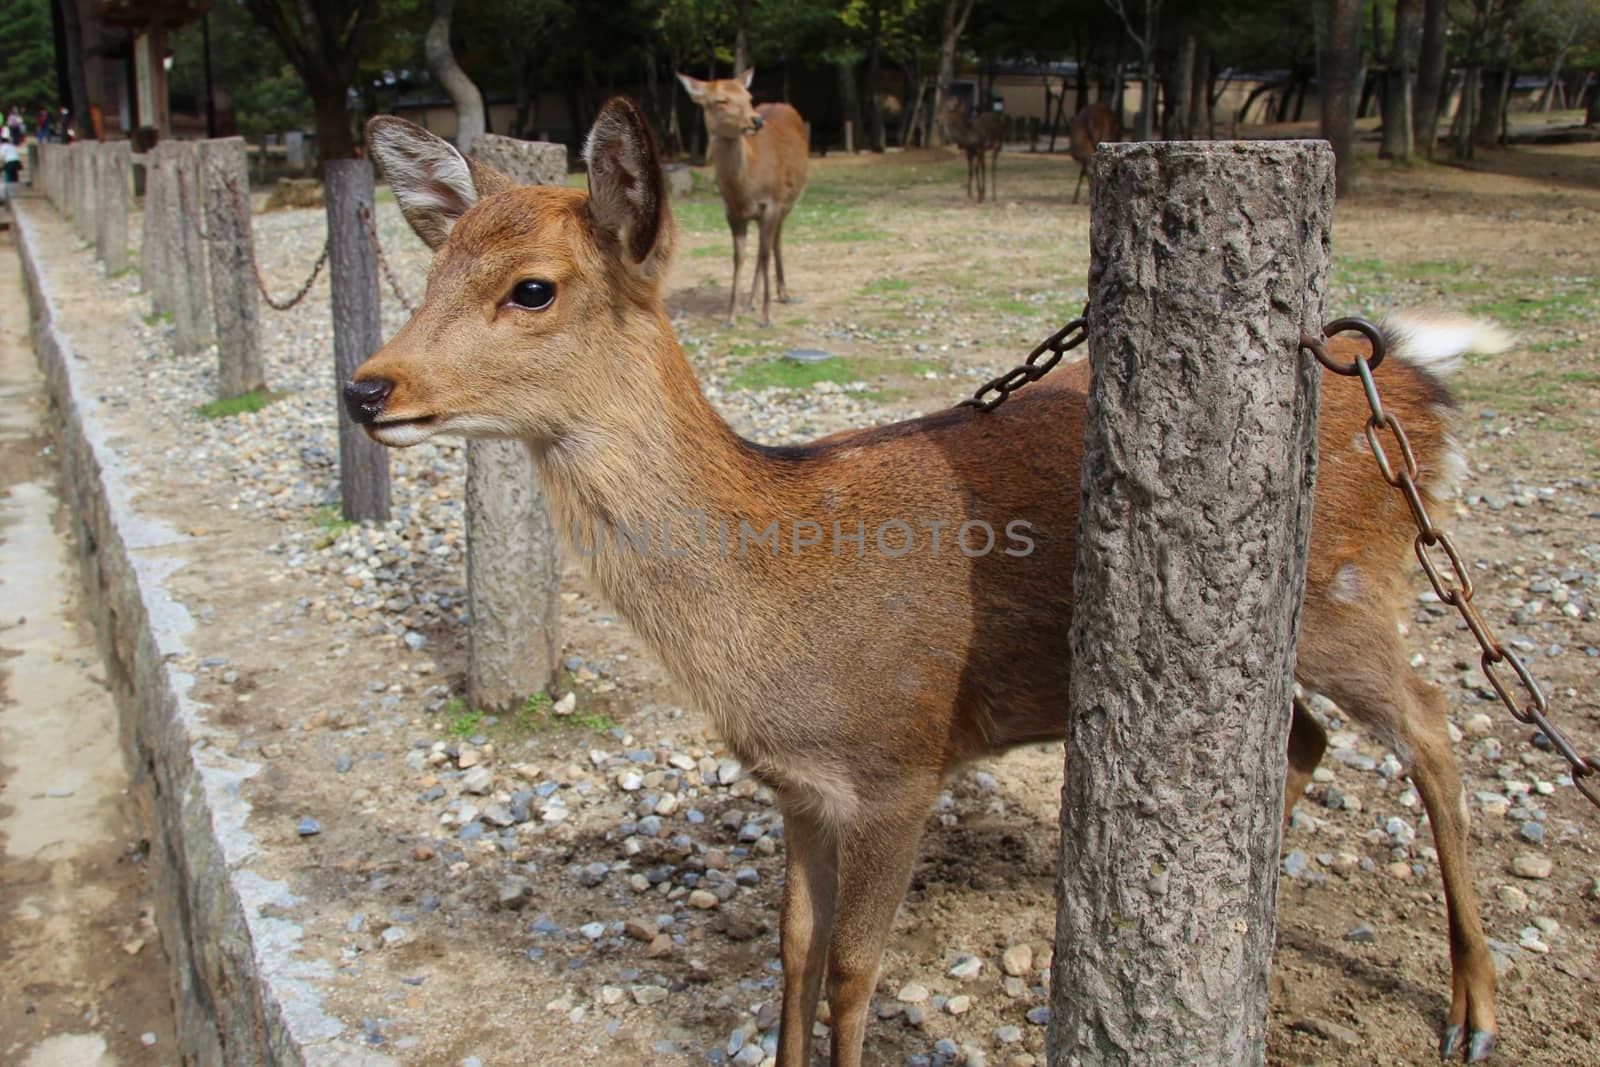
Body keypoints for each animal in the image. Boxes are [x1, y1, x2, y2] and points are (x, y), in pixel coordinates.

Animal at [353, 95, 1510, 1062]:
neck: (773, 602)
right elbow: (789, 952)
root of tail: (1408, 383)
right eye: (429, 275)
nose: (368, 387)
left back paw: (1472, 1010)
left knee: (1434, 719)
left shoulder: (900, 762)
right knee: (1306, 737)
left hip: (1350, 588)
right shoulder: (800, 785)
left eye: (531, 288)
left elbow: (853, 970)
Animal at [675, 69, 806, 327]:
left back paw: (783, 294)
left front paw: (766, 317)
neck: (745, 191)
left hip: (789, 201)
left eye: (748, 97)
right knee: (767, 244)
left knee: (774, 243)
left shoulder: (771, 204)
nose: (756, 120)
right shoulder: (732, 212)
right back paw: (751, 300)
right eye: (721, 101)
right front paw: (731, 316)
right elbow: (739, 257)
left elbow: (764, 255)